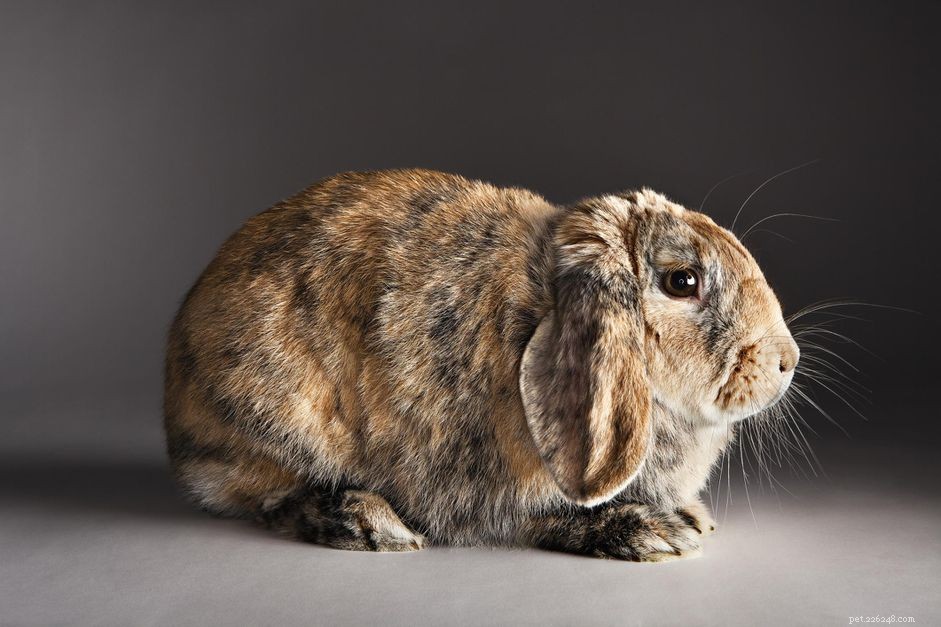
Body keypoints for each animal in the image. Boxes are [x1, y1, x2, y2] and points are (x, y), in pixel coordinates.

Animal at [164, 168, 799, 561]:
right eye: (682, 282)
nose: (786, 361)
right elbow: (533, 520)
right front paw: (653, 534)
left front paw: (691, 518)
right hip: (278, 421)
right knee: (273, 498)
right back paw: (371, 523)